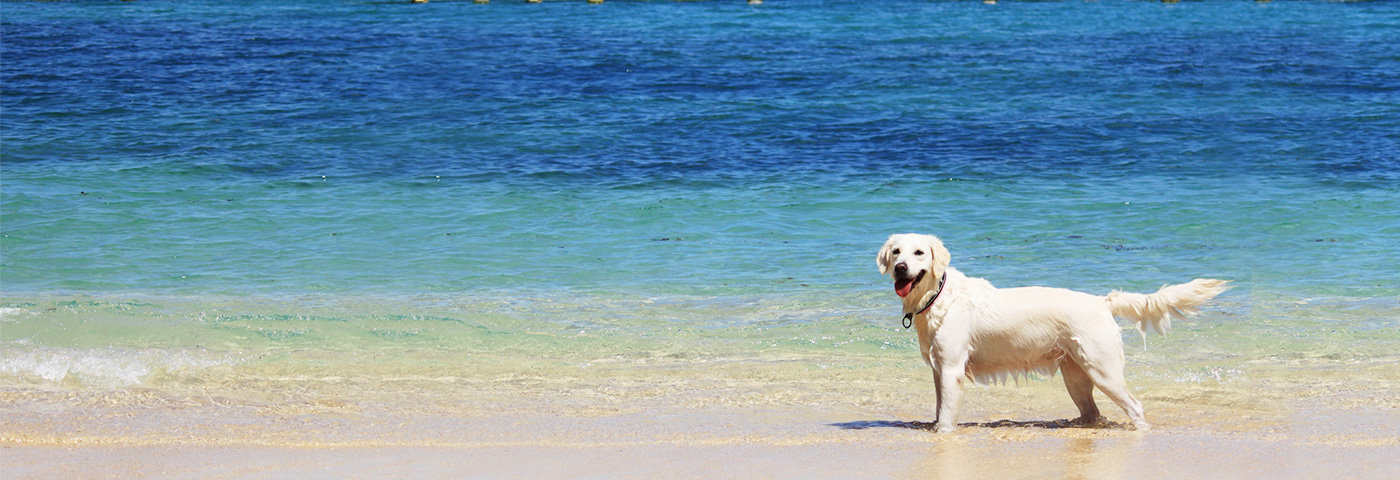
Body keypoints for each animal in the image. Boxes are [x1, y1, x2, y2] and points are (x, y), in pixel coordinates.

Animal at [879, 233, 1232, 433]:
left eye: (919, 253)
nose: (900, 268)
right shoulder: (939, 370)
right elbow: (940, 408)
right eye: (897, 252)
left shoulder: (952, 369)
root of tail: (1101, 301)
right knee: (1092, 411)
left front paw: (943, 435)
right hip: (1076, 376)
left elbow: (947, 417)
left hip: (1104, 371)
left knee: (1135, 406)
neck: (938, 295)